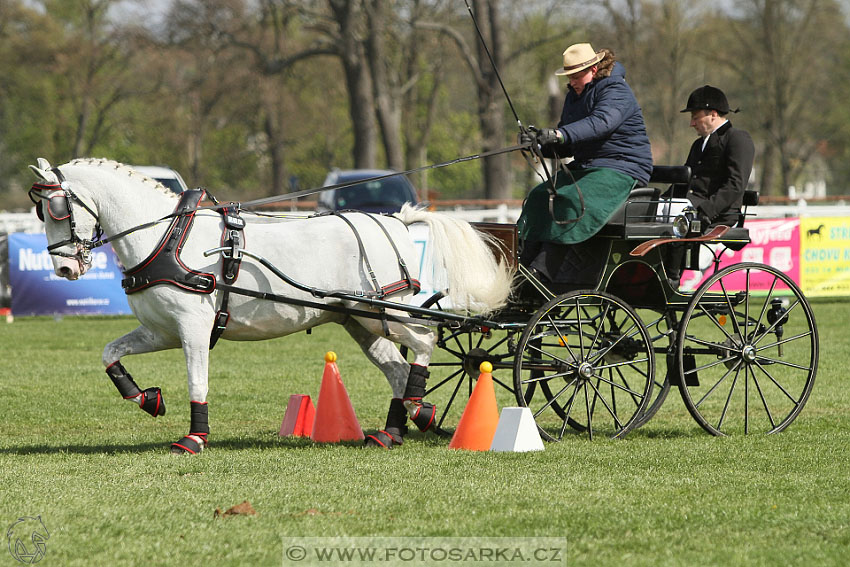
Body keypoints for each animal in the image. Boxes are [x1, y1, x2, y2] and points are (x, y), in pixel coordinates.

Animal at [29, 158, 512, 454]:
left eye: (56, 208)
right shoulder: (161, 331)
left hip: (388, 313)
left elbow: (198, 382)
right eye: (41, 211)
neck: (165, 237)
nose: (65, 268)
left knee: (425, 340)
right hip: (361, 320)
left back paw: (420, 407)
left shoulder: (192, 328)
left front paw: (195, 438)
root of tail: (394, 220)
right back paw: (392, 431)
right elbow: (110, 354)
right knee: (396, 367)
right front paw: (148, 398)